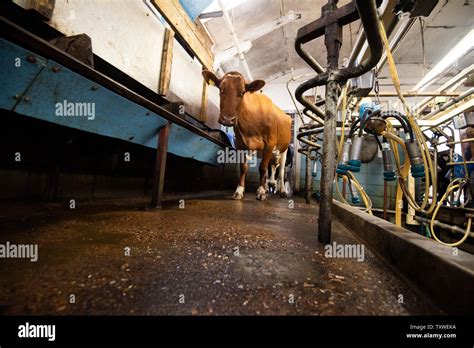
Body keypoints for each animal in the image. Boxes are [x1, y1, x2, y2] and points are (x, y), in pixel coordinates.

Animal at [201, 70, 290, 201]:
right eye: (221, 89)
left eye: (242, 92)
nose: (227, 119)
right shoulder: (242, 144)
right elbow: (244, 168)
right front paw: (239, 190)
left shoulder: (270, 143)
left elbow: (263, 168)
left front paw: (261, 192)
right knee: (273, 168)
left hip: (284, 149)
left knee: (281, 172)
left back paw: (282, 191)